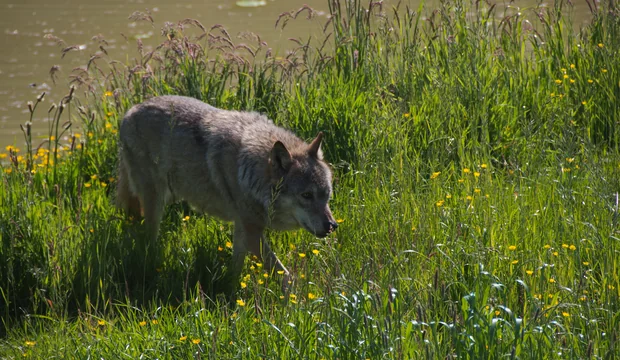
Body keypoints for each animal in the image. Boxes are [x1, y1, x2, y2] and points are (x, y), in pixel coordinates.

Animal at [116, 95, 340, 290]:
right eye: (306, 196)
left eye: (326, 195)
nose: (332, 226)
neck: (250, 171)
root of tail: (129, 111)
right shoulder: (251, 231)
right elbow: (286, 276)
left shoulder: (243, 228)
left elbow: (237, 267)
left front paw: (230, 290)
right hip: (155, 203)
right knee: (148, 239)